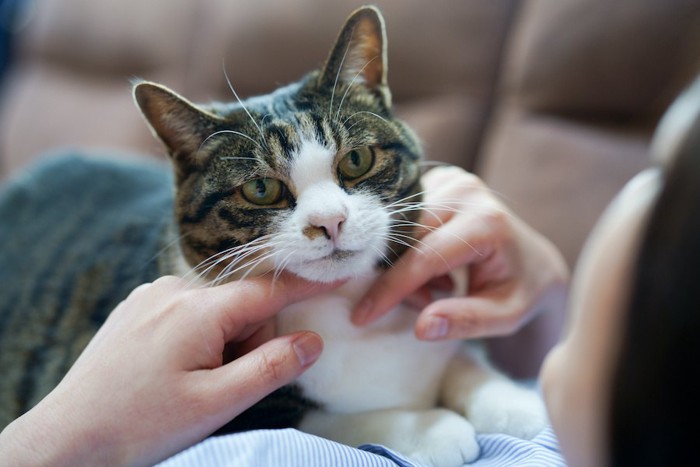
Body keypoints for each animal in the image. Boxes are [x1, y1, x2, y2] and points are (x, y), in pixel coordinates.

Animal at [0, 5, 548, 466]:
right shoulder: (225, 409)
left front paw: (517, 404)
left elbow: (460, 353)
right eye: (260, 189)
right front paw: (433, 428)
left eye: (356, 159)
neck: (347, 308)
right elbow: (312, 419)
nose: (330, 221)